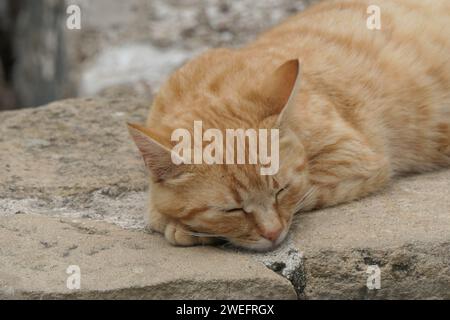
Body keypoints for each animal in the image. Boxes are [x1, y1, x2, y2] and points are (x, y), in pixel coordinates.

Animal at [126, 0, 450, 251]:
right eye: (232, 209)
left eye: (282, 190)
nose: (273, 234)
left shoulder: (354, 160)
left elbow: (309, 190)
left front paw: (181, 226)